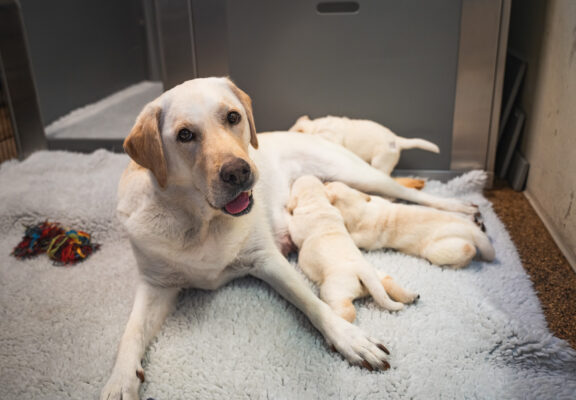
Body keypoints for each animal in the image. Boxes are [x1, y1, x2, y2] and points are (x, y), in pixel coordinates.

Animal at [288, 175, 418, 322]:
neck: (316, 201)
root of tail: (362, 271)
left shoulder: (297, 226)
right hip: (376, 275)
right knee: (387, 281)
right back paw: (410, 296)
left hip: (334, 289)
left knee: (347, 311)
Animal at [324, 181, 496, 268]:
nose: (323, 180)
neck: (359, 207)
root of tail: (472, 231)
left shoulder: (364, 237)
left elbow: (352, 238)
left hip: (438, 248)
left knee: (469, 250)